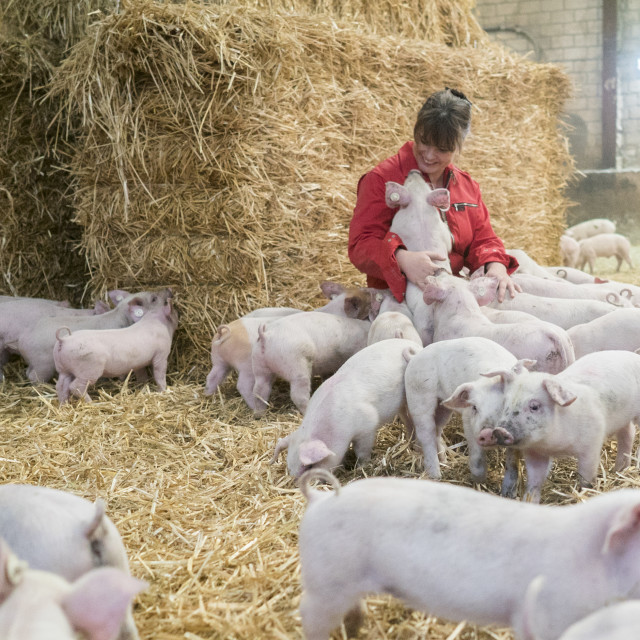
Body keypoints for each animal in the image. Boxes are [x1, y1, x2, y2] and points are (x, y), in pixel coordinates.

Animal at [272, 338, 418, 478]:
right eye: (290, 467)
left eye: (309, 466)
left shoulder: (367, 427)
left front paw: (361, 467)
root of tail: (413, 343)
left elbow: (362, 451)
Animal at [476, 352, 640, 502]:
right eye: (505, 403)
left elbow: (586, 479)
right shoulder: (535, 453)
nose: (500, 431)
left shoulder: (591, 445)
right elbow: (534, 483)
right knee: (628, 433)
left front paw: (584, 493)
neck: (554, 445)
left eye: (534, 406)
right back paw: (620, 469)